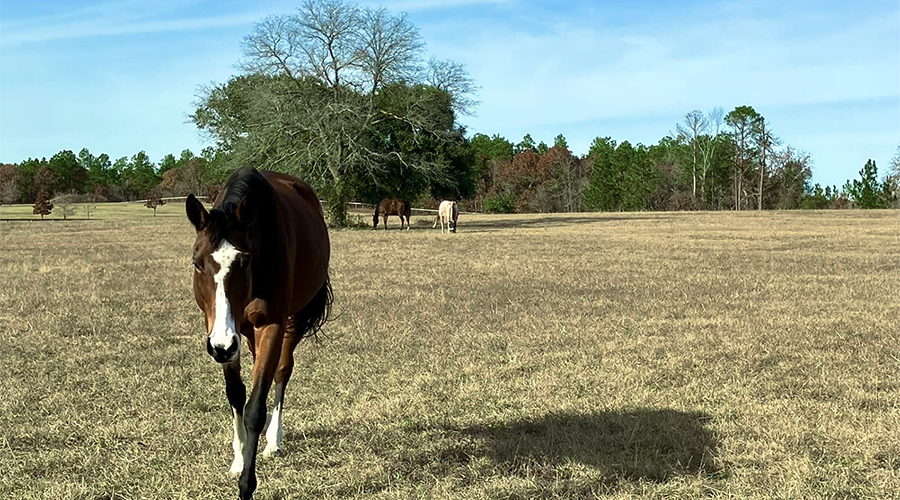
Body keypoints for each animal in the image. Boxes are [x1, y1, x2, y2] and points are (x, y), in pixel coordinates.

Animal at [186, 167, 334, 500]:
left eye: (244, 260)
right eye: (196, 263)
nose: (221, 346)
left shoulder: (271, 326)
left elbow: (255, 407)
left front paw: (247, 486)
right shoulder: (222, 331)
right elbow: (236, 394)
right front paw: (239, 459)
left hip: (291, 320)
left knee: (282, 370)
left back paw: (274, 440)